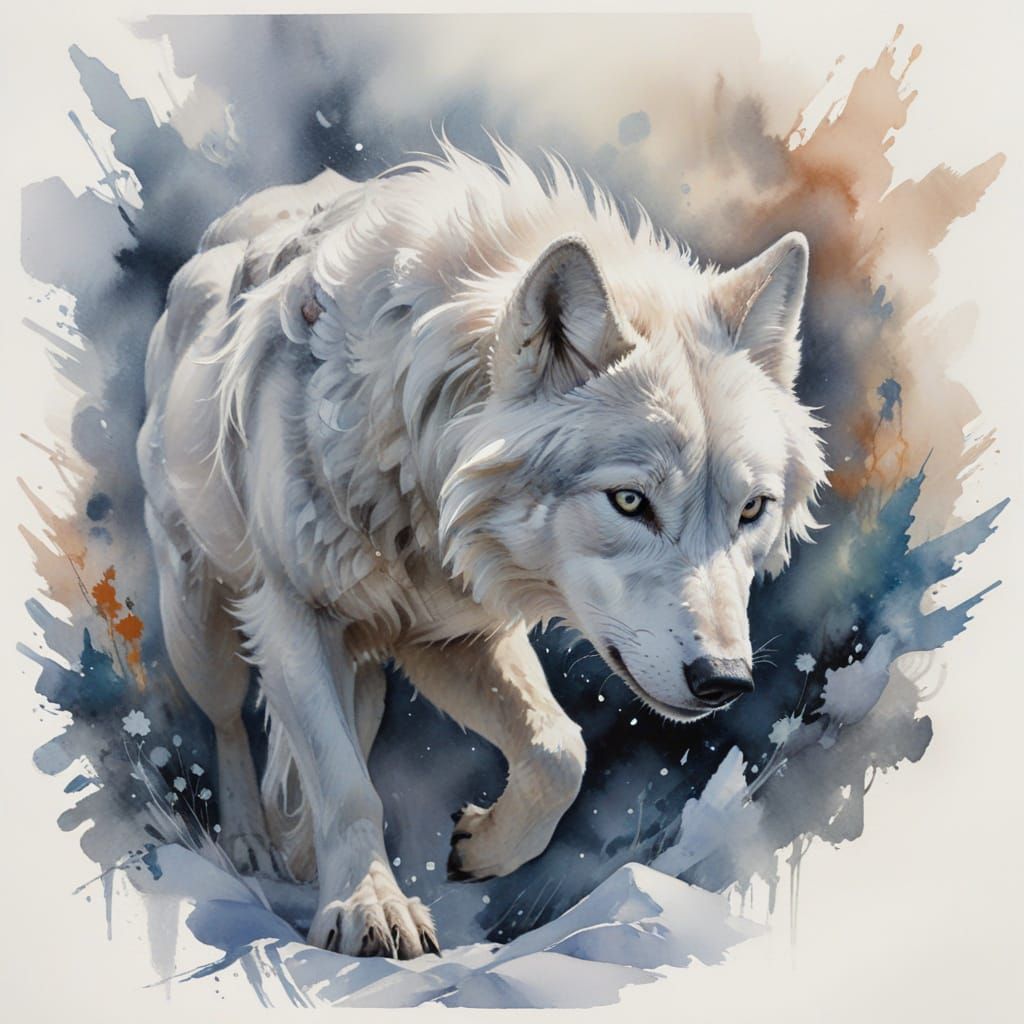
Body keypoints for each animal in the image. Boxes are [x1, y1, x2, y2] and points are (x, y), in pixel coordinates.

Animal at [137, 140, 827, 959]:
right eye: (630, 502)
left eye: (751, 510)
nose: (724, 681)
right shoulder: (291, 614)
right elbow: (347, 786)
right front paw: (370, 908)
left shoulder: (451, 634)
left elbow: (561, 752)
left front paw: (483, 848)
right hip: (200, 626)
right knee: (225, 720)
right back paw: (250, 844)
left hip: (366, 659)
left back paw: (300, 853)